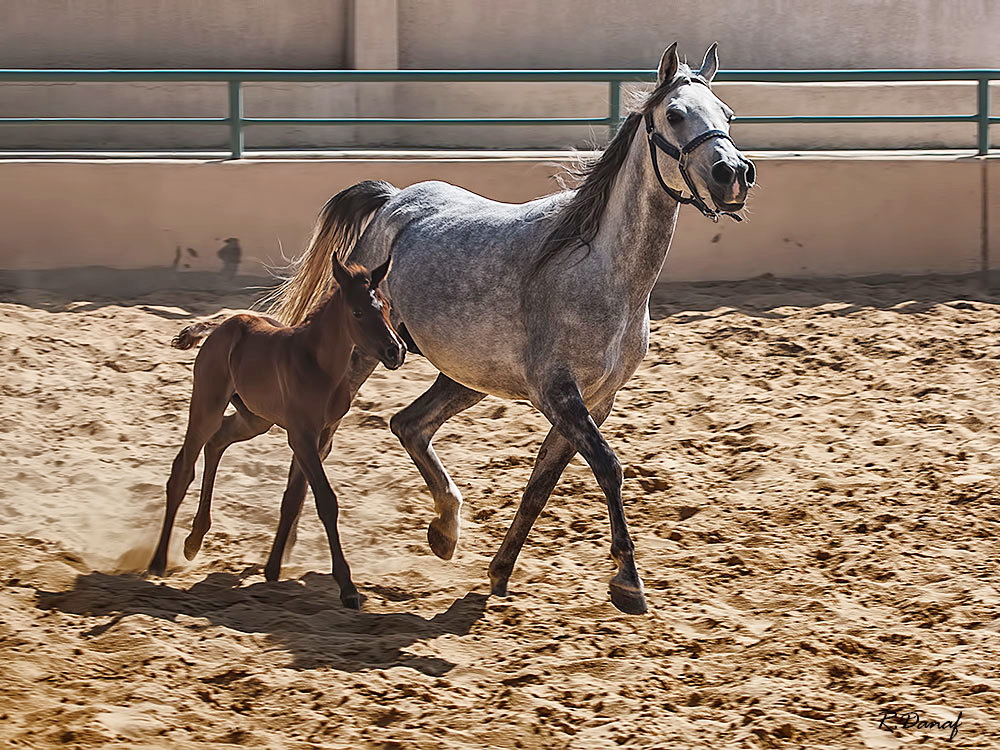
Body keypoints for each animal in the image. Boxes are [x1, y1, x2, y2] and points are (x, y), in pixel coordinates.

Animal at [146, 258, 404, 612]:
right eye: (358, 312)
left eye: (388, 307)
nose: (396, 351)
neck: (319, 365)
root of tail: (220, 326)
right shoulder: (301, 435)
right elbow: (326, 501)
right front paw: (348, 588)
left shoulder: (321, 435)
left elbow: (294, 498)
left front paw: (272, 569)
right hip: (207, 405)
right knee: (183, 469)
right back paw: (158, 561)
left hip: (255, 418)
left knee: (217, 442)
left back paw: (195, 539)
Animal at [262, 42, 752, 616]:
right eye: (675, 114)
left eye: (728, 115)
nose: (733, 174)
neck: (602, 271)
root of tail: (393, 199)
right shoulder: (557, 392)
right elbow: (608, 467)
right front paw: (628, 582)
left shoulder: (596, 400)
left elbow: (543, 482)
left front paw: (499, 573)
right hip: (364, 356)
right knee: (317, 444)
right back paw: (281, 559)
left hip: (464, 375)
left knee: (408, 425)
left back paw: (443, 531)